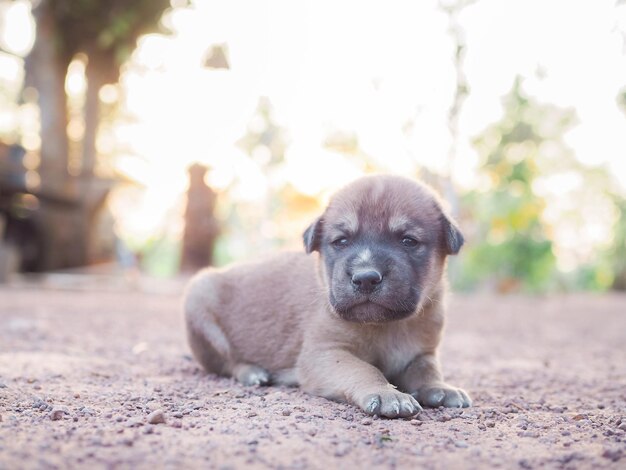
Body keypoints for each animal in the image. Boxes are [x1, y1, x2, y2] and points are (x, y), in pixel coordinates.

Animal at [183, 174, 470, 416]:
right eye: (341, 241)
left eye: (408, 241)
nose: (366, 278)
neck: (385, 327)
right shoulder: (324, 352)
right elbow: (364, 369)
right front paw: (387, 393)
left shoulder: (423, 353)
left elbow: (427, 371)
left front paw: (441, 388)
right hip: (200, 305)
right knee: (226, 363)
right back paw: (253, 372)